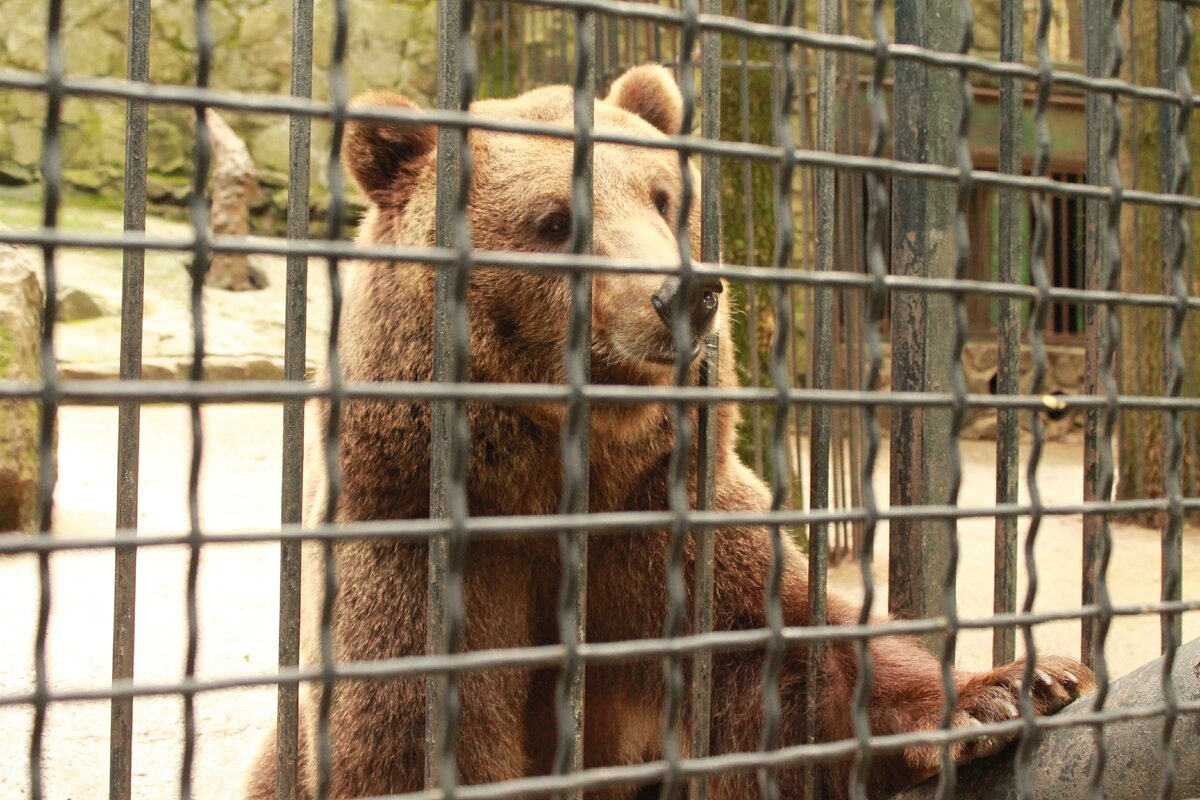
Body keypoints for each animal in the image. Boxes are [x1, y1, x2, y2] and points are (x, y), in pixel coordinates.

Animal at [246, 67, 1099, 800]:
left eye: (662, 198)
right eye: (555, 220)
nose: (686, 292)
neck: (560, 476)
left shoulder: (668, 525)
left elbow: (788, 652)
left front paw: (1014, 688)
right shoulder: (424, 560)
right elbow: (409, 737)